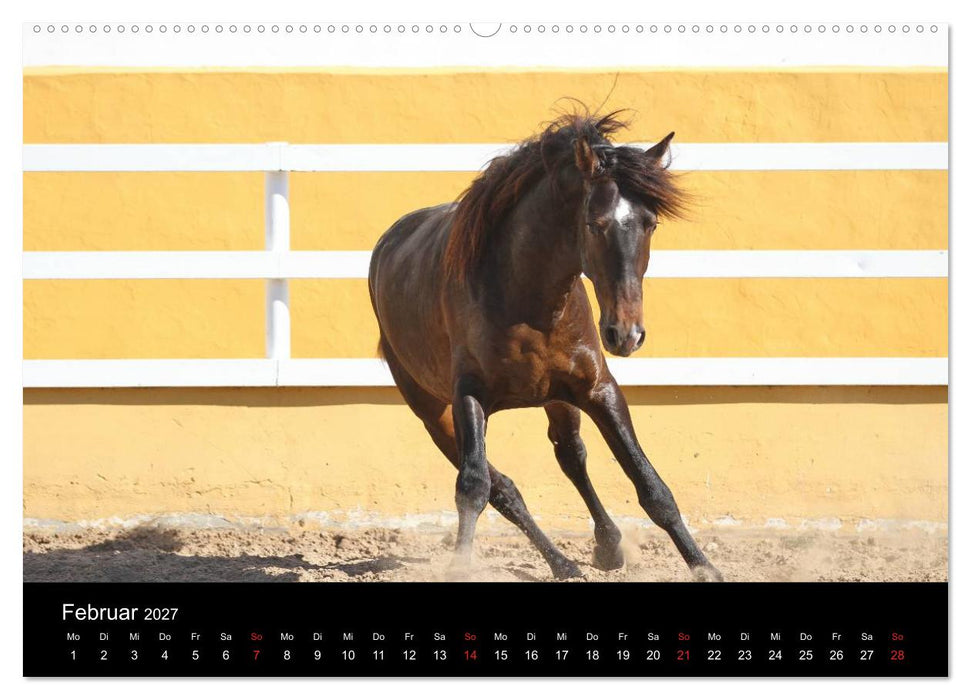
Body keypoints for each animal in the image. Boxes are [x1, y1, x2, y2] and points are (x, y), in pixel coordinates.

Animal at [367, 110, 723, 582]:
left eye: (651, 223)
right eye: (595, 223)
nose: (626, 333)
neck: (527, 297)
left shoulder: (598, 390)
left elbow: (651, 485)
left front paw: (704, 567)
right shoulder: (468, 396)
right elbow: (474, 486)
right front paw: (460, 566)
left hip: (557, 398)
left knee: (570, 456)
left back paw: (603, 547)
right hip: (432, 412)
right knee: (502, 487)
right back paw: (563, 562)